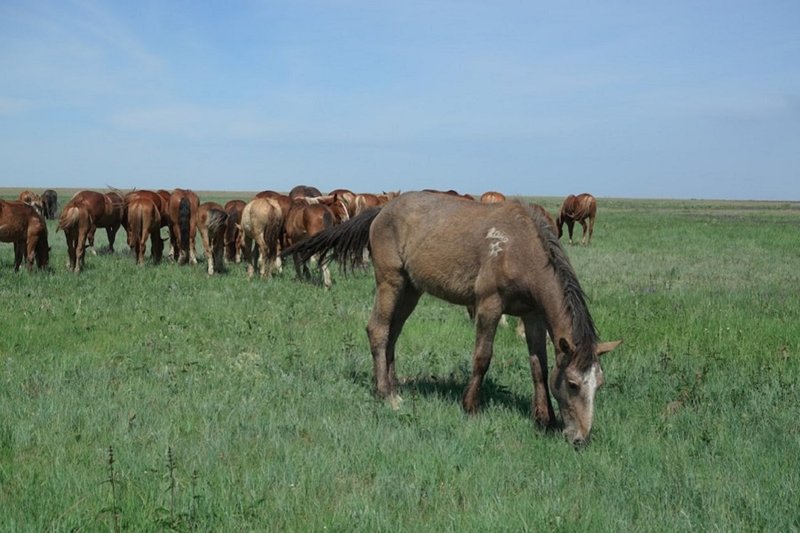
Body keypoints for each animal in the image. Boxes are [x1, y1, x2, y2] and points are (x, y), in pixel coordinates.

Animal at [282, 191, 624, 444]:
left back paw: (394, 384)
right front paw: (470, 406)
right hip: (390, 282)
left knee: (392, 334)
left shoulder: (533, 316)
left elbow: (538, 367)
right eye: (573, 384)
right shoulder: (488, 305)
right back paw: (386, 395)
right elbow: (482, 357)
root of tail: (381, 210)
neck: (521, 250)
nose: (580, 438)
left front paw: (545, 419)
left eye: (599, 384)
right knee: (378, 330)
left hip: (411, 289)